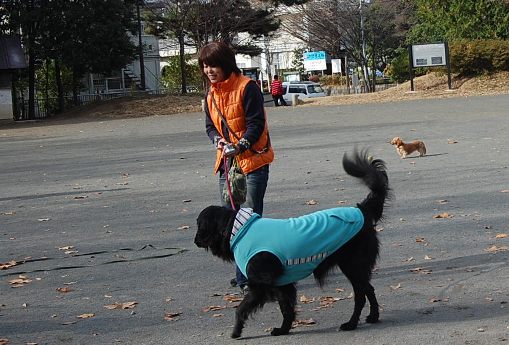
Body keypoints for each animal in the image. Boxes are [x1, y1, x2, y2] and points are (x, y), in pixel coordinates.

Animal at [193, 149, 388, 338]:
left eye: (199, 225)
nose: (194, 241)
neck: (239, 228)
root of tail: (362, 209)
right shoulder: (282, 284)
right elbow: (286, 309)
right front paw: (284, 329)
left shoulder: (259, 286)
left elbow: (241, 308)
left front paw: (236, 330)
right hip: (355, 268)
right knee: (369, 289)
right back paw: (373, 316)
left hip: (353, 266)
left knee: (361, 295)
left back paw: (352, 323)